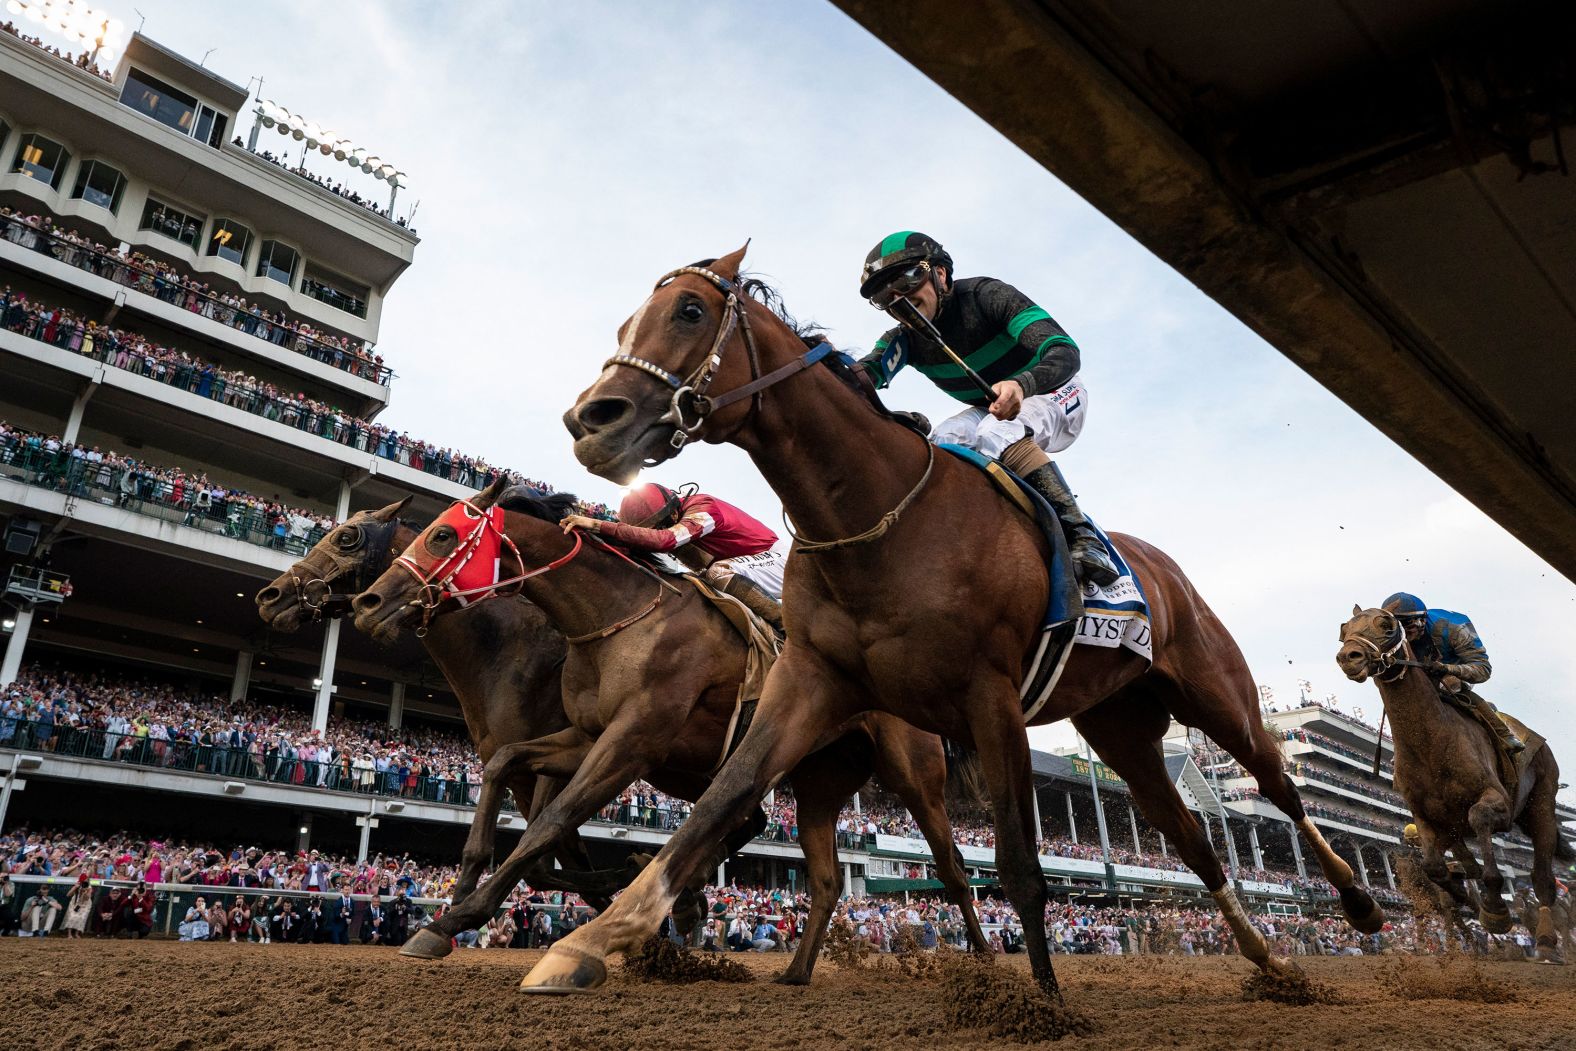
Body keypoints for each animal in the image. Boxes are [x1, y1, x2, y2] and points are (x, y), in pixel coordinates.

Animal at [353, 482, 989, 983]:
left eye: (441, 535)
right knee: (826, 879)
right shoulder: (587, 736)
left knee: (955, 869)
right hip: (817, 781)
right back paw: (790, 969)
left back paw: (985, 963)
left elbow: (551, 822)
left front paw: (460, 916)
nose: (368, 601)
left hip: (913, 777)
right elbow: (502, 762)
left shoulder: (633, 742)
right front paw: (453, 905)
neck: (616, 620)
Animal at [535, 242, 1386, 1002]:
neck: (877, 513)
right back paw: (1272, 963)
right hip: (1121, 727)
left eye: (689, 309)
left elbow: (1017, 864)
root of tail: (1164, 568)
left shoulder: (990, 694)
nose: (590, 419)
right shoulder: (809, 678)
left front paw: (1042, 1003)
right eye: (626, 322)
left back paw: (1359, 901)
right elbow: (720, 800)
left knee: (1282, 790)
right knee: (1191, 838)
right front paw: (589, 941)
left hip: (1218, 697)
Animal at [1336, 608, 1569, 964]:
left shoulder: (1498, 803)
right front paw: (1467, 899)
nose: (1349, 657)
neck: (1430, 742)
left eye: (1386, 625)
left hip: (1541, 802)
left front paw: (1495, 908)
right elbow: (1436, 867)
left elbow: (1480, 825)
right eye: (1344, 629)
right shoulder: (1429, 820)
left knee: (1542, 876)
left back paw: (1544, 942)